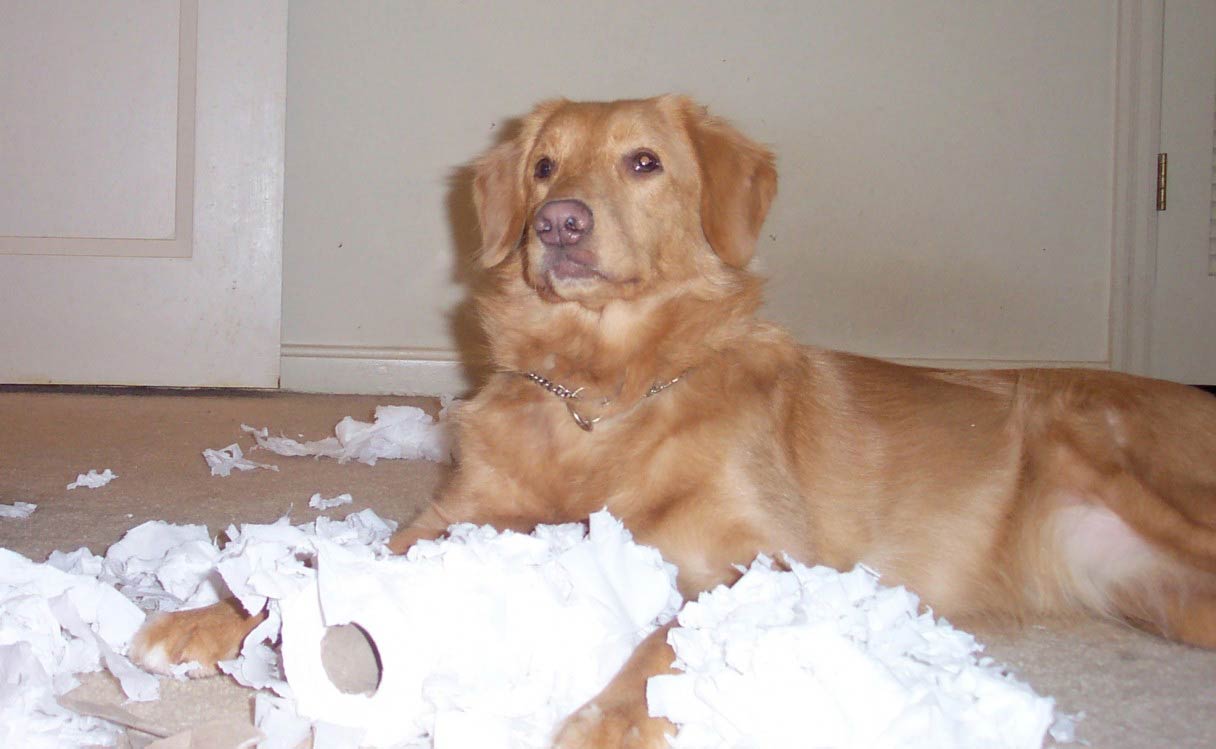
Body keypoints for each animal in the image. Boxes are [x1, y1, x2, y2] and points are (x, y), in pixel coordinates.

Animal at [133, 96, 1216, 744]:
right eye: (543, 167)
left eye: (644, 163)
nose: (557, 223)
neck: (601, 392)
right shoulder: (452, 521)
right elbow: (323, 563)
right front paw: (214, 612)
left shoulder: (770, 555)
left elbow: (666, 631)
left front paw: (610, 716)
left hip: (1113, 452)